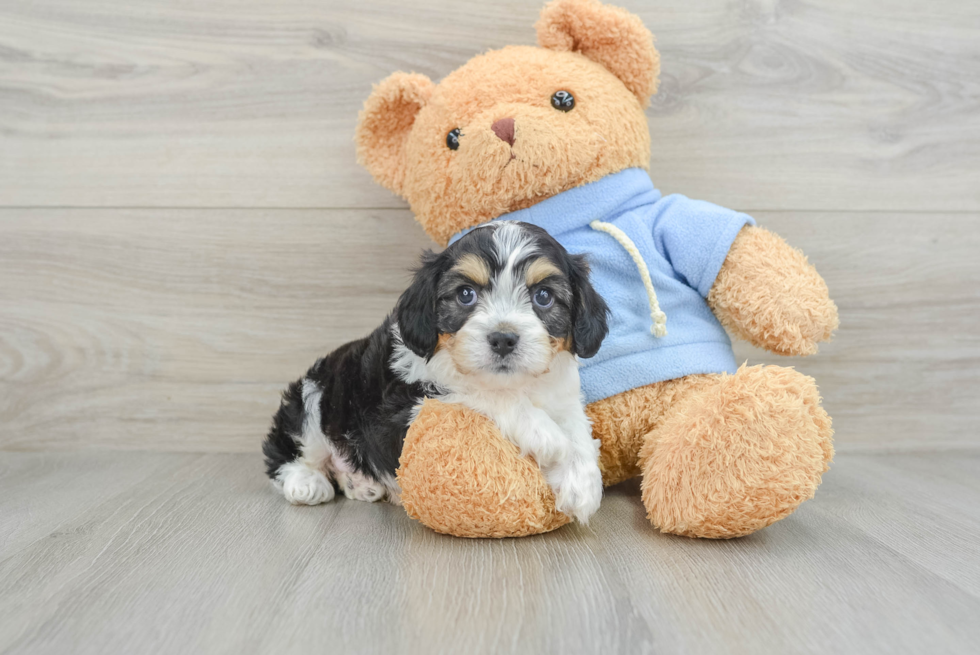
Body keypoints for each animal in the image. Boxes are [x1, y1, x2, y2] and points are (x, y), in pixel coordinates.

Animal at [264, 220, 608, 524]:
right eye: (465, 294)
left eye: (543, 297)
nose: (503, 338)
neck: (515, 382)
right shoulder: (405, 406)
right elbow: (478, 393)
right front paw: (545, 434)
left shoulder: (562, 393)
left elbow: (577, 426)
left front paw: (582, 484)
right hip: (316, 396)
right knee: (287, 448)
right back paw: (306, 482)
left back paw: (359, 483)